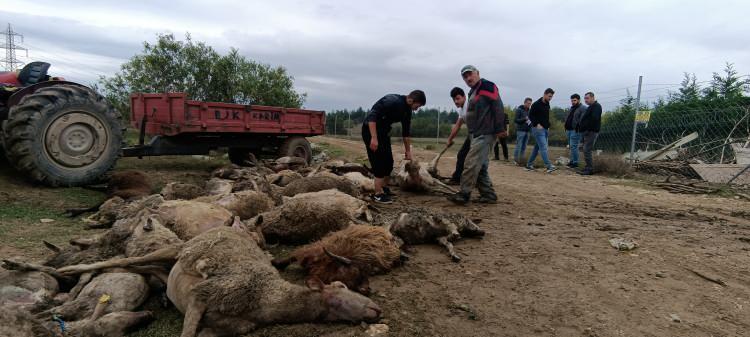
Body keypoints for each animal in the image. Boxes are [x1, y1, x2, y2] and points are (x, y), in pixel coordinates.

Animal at [165, 224, 382, 336]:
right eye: (338, 292)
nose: (376, 308)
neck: (267, 297)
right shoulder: (203, 293)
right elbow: (188, 332)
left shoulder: (237, 324)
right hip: (179, 249)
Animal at [274, 223, 406, 294]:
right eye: (357, 271)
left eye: (366, 274)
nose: (367, 289)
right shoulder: (307, 252)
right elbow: (291, 256)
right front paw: (275, 262)